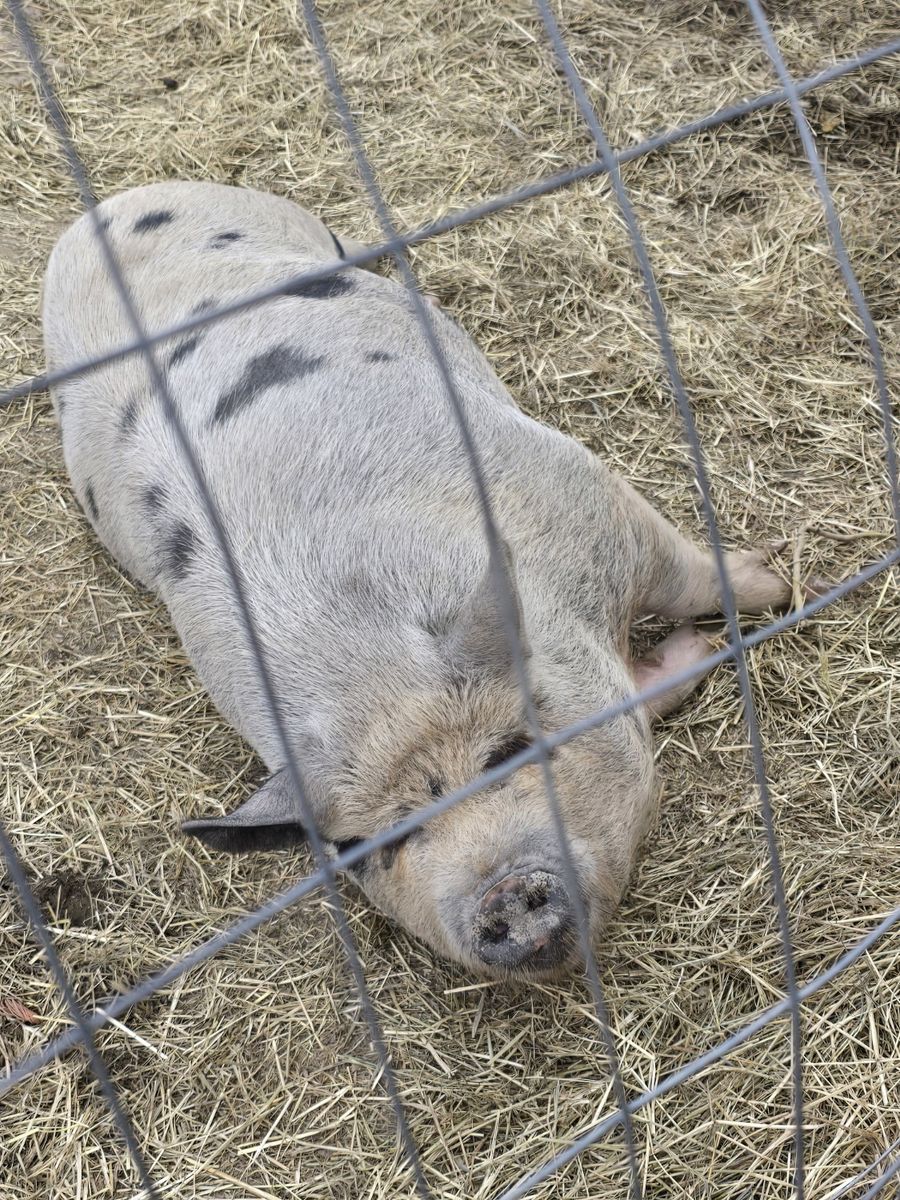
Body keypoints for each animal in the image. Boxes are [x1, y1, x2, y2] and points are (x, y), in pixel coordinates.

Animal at [42, 180, 805, 981]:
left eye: (510, 752)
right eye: (370, 848)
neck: (371, 675)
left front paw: (781, 581)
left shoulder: (585, 496)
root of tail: (104, 211)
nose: (502, 894)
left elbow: (694, 579)